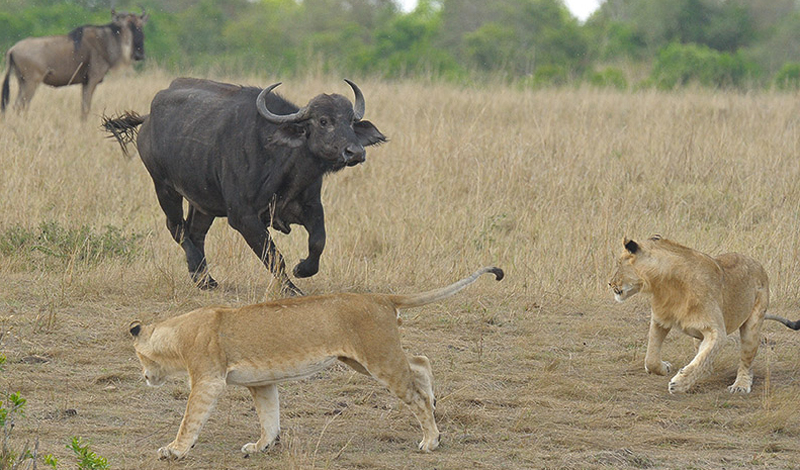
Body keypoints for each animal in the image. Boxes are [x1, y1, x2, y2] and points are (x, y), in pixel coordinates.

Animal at [2, 9, 148, 119]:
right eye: (127, 27)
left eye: (140, 27)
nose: (139, 54)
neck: (104, 41)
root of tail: (12, 49)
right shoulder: (92, 80)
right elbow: (86, 108)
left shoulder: (85, 82)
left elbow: (83, 107)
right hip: (32, 82)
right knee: (21, 105)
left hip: (22, 82)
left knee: (17, 105)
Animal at [102, 79, 384, 296]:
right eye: (323, 121)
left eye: (350, 121)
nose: (355, 152)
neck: (283, 162)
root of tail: (148, 119)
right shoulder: (243, 217)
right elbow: (274, 256)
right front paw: (291, 288)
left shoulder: (311, 207)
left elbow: (318, 242)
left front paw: (302, 269)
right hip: (164, 187)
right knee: (177, 227)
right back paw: (199, 274)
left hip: (202, 201)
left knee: (195, 232)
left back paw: (206, 279)